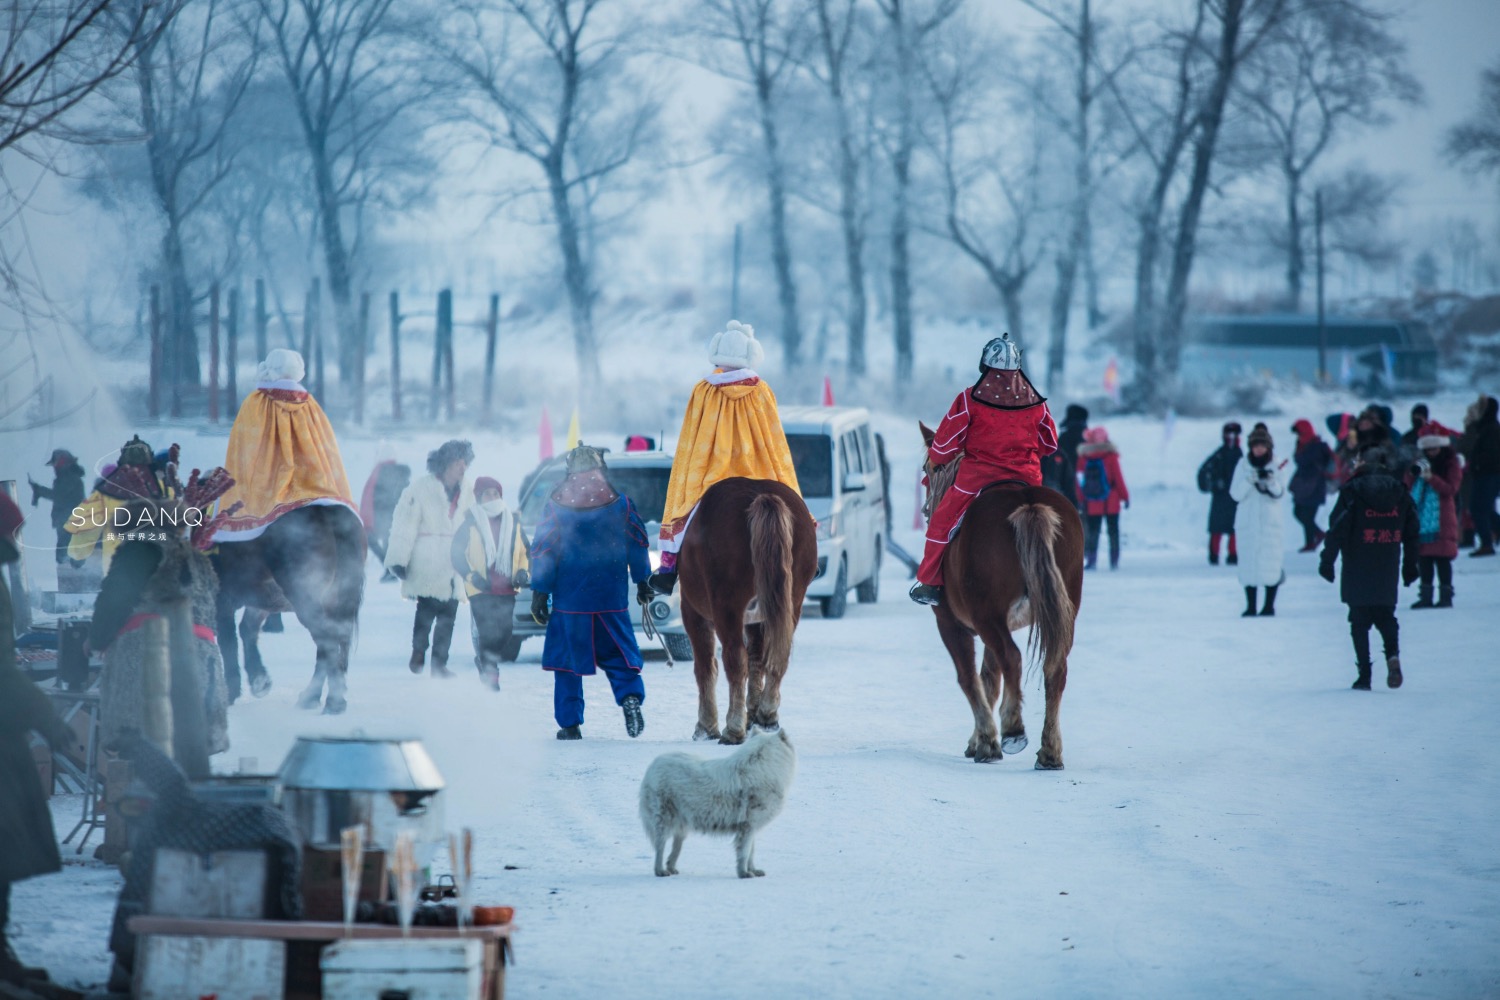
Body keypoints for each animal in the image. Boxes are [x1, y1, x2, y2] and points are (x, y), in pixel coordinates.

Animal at [639, 728, 798, 875]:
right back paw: (660, 871)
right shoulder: (748, 826)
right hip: (665, 820)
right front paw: (744, 873)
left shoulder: (751, 828)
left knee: (675, 848)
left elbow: (751, 853)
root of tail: (653, 766)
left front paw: (753, 870)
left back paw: (671, 868)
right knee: (660, 847)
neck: (762, 765)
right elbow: (744, 853)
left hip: (682, 824)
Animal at [681, 479, 822, 746]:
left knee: (735, 659)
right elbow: (757, 657)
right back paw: (767, 715)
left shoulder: (694, 613)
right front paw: (753, 713)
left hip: (727, 607)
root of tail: (762, 496)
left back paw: (733, 728)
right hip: (789, 602)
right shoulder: (757, 619)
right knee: (778, 654)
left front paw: (706, 726)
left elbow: (705, 665)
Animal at [918, 425, 1086, 773]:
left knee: (1013, 657)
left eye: (929, 470)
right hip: (1061, 614)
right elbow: (990, 680)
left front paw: (985, 741)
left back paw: (1013, 730)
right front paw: (978, 739)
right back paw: (1049, 751)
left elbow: (970, 679)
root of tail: (1028, 505)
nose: (927, 510)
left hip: (986, 615)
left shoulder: (952, 624)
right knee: (1055, 669)